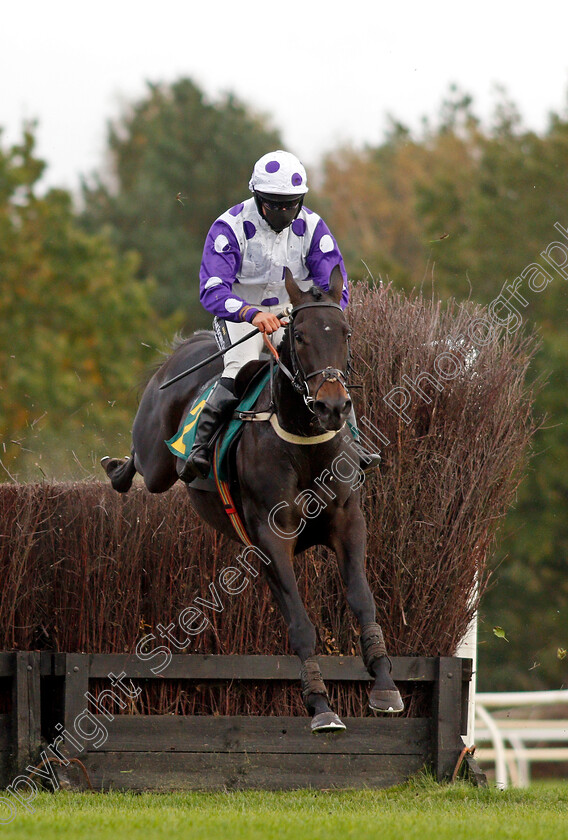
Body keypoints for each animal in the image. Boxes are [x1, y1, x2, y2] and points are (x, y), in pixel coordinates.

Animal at [102, 266, 404, 732]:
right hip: (157, 462)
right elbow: (299, 622)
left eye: (346, 333)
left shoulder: (349, 523)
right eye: (299, 336)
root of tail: (189, 347)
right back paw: (116, 469)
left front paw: (385, 685)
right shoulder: (270, 537)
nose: (333, 406)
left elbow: (362, 600)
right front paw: (320, 705)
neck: (304, 444)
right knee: (142, 463)